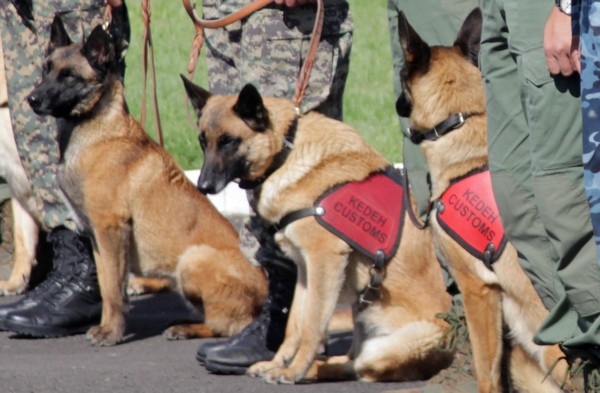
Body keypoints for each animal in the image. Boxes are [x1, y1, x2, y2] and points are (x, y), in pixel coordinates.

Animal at [26, 16, 268, 344]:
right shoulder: (98, 237)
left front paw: (112, 332)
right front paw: (106, 325)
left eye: (69, 76)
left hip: (192, 260)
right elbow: (106, 287)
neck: (95, 129)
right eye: (46, 69)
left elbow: (114, 290)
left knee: (230, 324)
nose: (31, 99)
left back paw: (191, 328)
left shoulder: (111, 229)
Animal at [180, 73, 458, 382]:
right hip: (360, 316)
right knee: (350, 360)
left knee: (361, 367)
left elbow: (312, 325)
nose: (203, 187)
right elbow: (295, 324)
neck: (287, 151)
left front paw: (293, 370)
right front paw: (279, 362)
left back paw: (311, 369)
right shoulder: (304, 267)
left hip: (392, 344)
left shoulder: (324, 261)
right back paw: (316, 366)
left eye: (229, 141)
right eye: (203, 142)